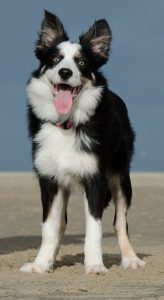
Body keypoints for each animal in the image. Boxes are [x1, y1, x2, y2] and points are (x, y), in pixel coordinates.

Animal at [19, 11, 146, 274]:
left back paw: (130, 259)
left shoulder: (95, 179)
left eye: (82, 63)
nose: (65, 72)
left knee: (121, 222)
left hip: (121, 176)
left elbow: (95, 230)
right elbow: (49, 228)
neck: (66, 123)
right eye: (55, 59)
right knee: (61, 224)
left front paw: (95, 265)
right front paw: (41, 264)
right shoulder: (49, 180)